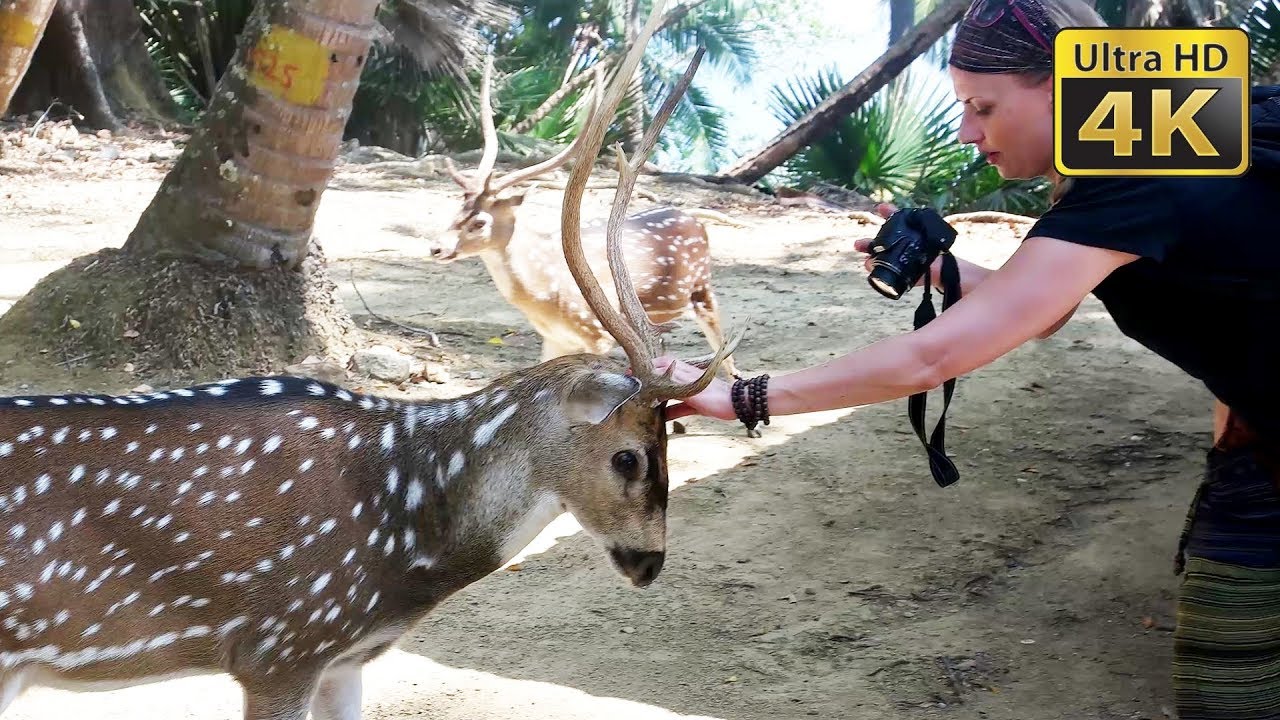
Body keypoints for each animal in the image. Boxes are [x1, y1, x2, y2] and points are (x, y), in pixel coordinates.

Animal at [424, 58, 742, 376]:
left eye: (480, 223)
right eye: (457, 209)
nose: (436, 248)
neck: (545, 293)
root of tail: (695, 220)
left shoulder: (595, 333)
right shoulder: (554, 339)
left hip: (702, 291)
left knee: (726, 356)